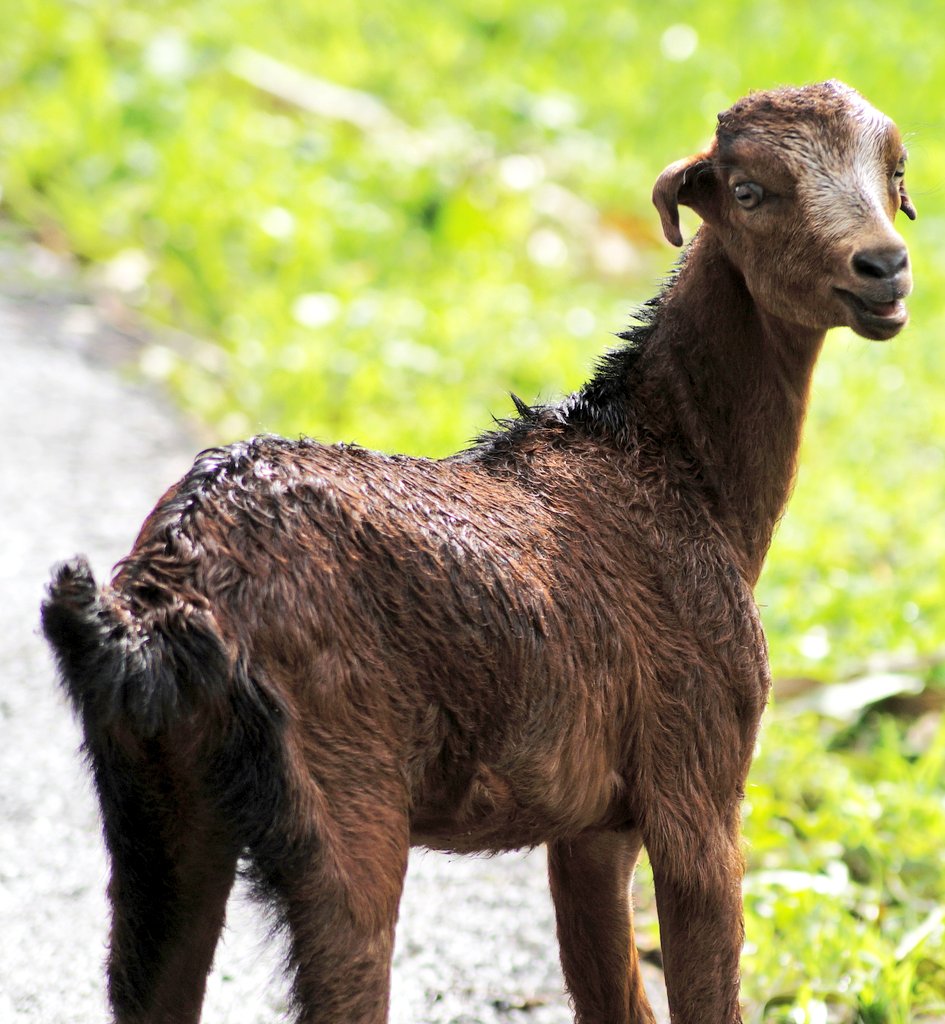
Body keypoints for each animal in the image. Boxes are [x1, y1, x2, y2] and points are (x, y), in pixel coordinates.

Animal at [42, 80, 915, 1024]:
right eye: (749, 190)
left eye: (895, 168)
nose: (883, 268)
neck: (676, 470)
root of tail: (157, 601)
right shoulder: (697, 773)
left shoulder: (591, 825)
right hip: (342, 808)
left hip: (152, 812)